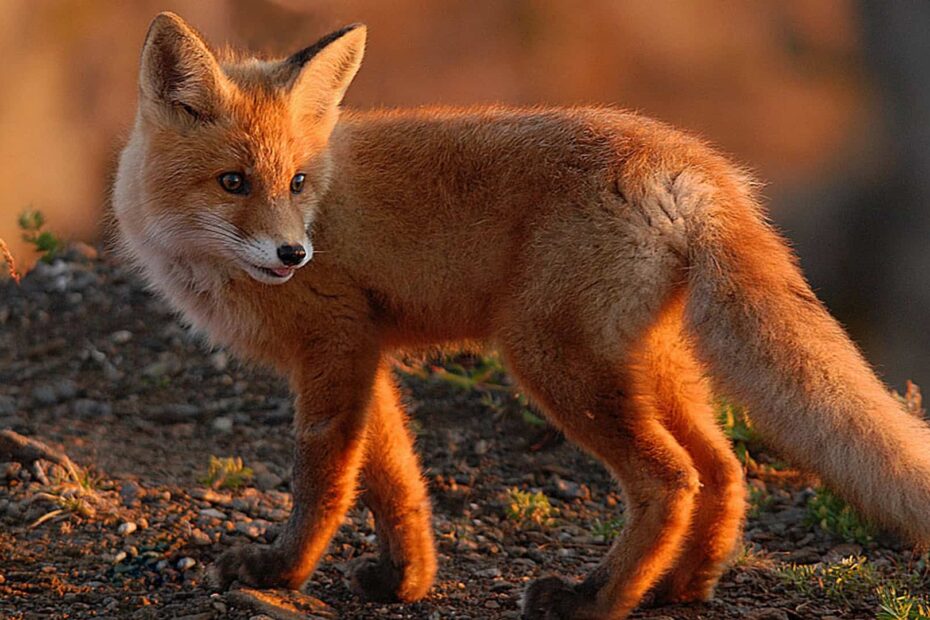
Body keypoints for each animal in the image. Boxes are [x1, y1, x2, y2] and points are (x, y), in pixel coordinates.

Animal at [111, 12, 930, 620]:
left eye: (298, 182)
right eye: (233, 182)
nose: (292, 254)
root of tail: (691, 161)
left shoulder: (335, 342)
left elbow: (323, 479)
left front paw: (281, 571)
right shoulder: (368, 350)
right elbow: (394, 480)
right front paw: (405, 579)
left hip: (551, 361)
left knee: (671, 480)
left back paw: (596, 599)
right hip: (646, 365)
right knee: (722, 468)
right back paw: (681, 587)